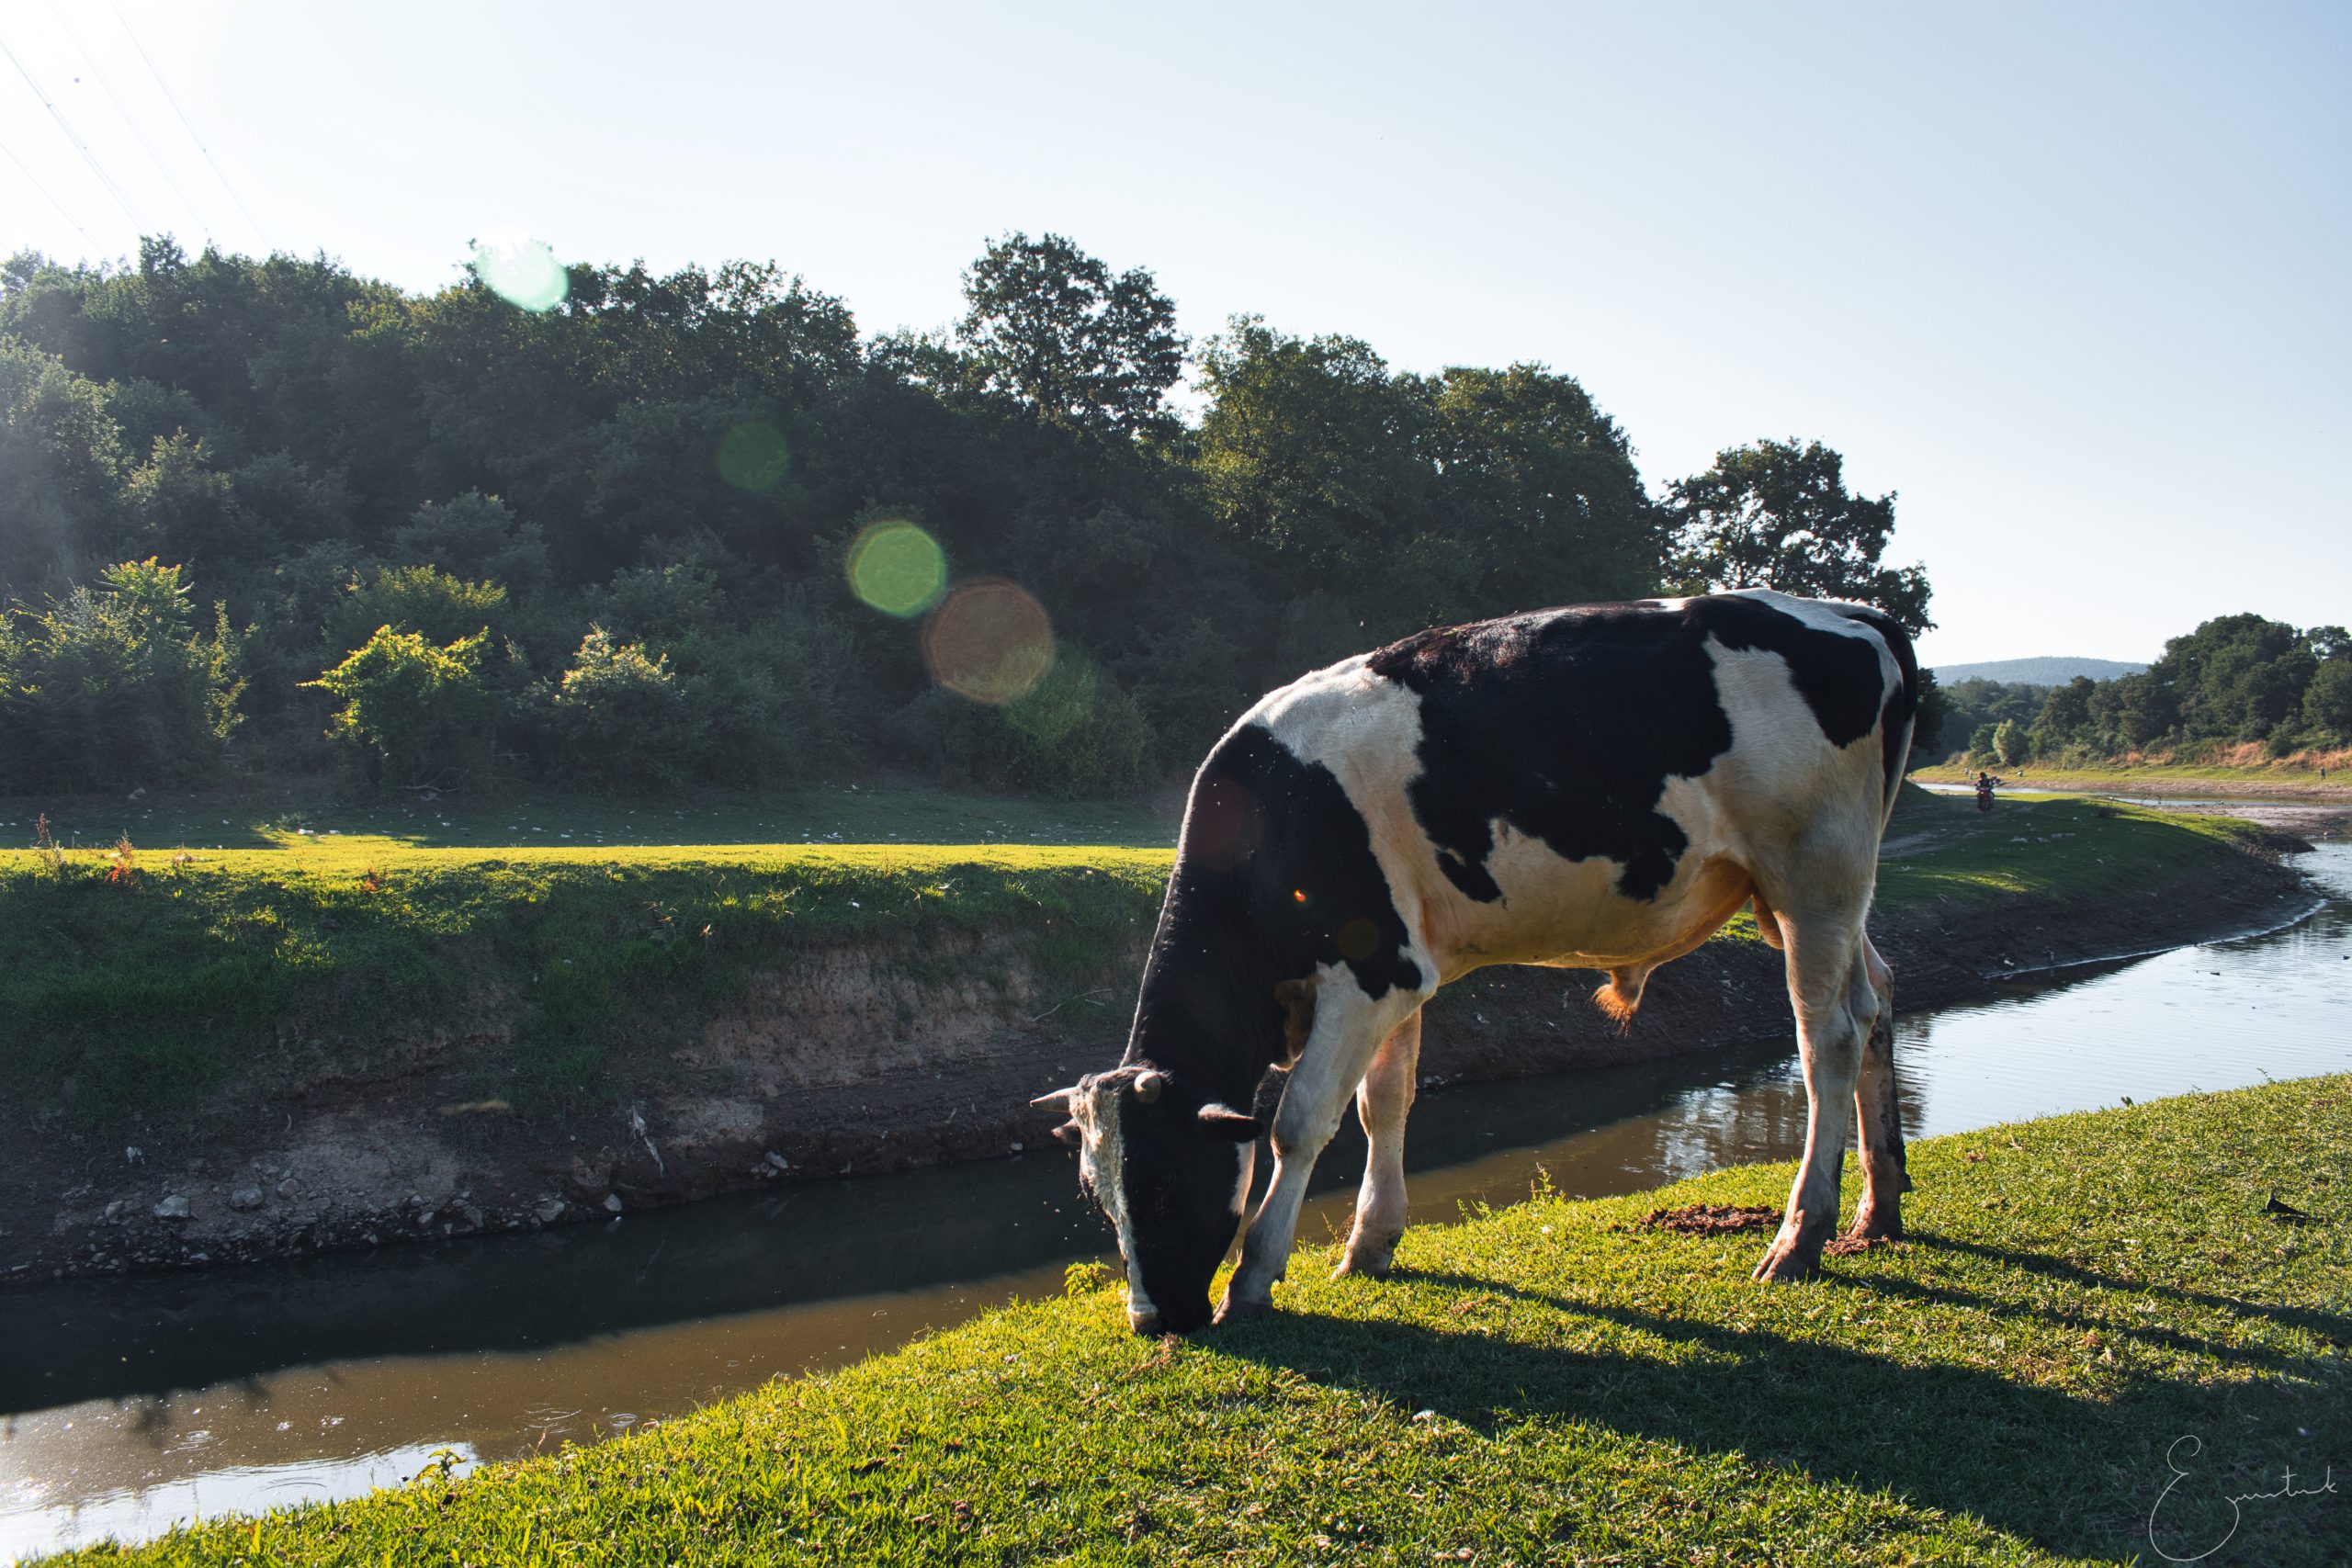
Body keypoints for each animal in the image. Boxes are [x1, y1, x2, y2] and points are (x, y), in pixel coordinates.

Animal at [1033, 589, 1920, 1334]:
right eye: (1096, 1197)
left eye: (1158, 1182)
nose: (1151, 1320)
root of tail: (1850, 611)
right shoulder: (1401, 970)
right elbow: (1384, 1103)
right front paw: (1369, 1243)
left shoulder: (1366, 972)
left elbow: (1301, 1121)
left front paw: (1254, 1278)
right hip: (1803, 893)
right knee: (1875, 997)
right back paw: (1878, 1209)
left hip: (1814, 874)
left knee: (1827, 1037)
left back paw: (1800, 1236)